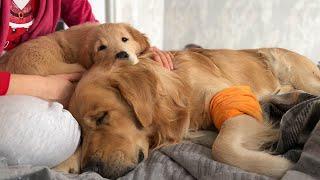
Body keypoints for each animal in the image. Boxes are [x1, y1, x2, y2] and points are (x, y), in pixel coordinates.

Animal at [66, 23, 318, 179]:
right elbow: (211, 139)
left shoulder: (236, 102)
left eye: (102, 117)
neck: (179, 88)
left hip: (293, 69)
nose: (89, 168)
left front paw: (283, 165)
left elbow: (222, 147)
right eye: (81, 132)